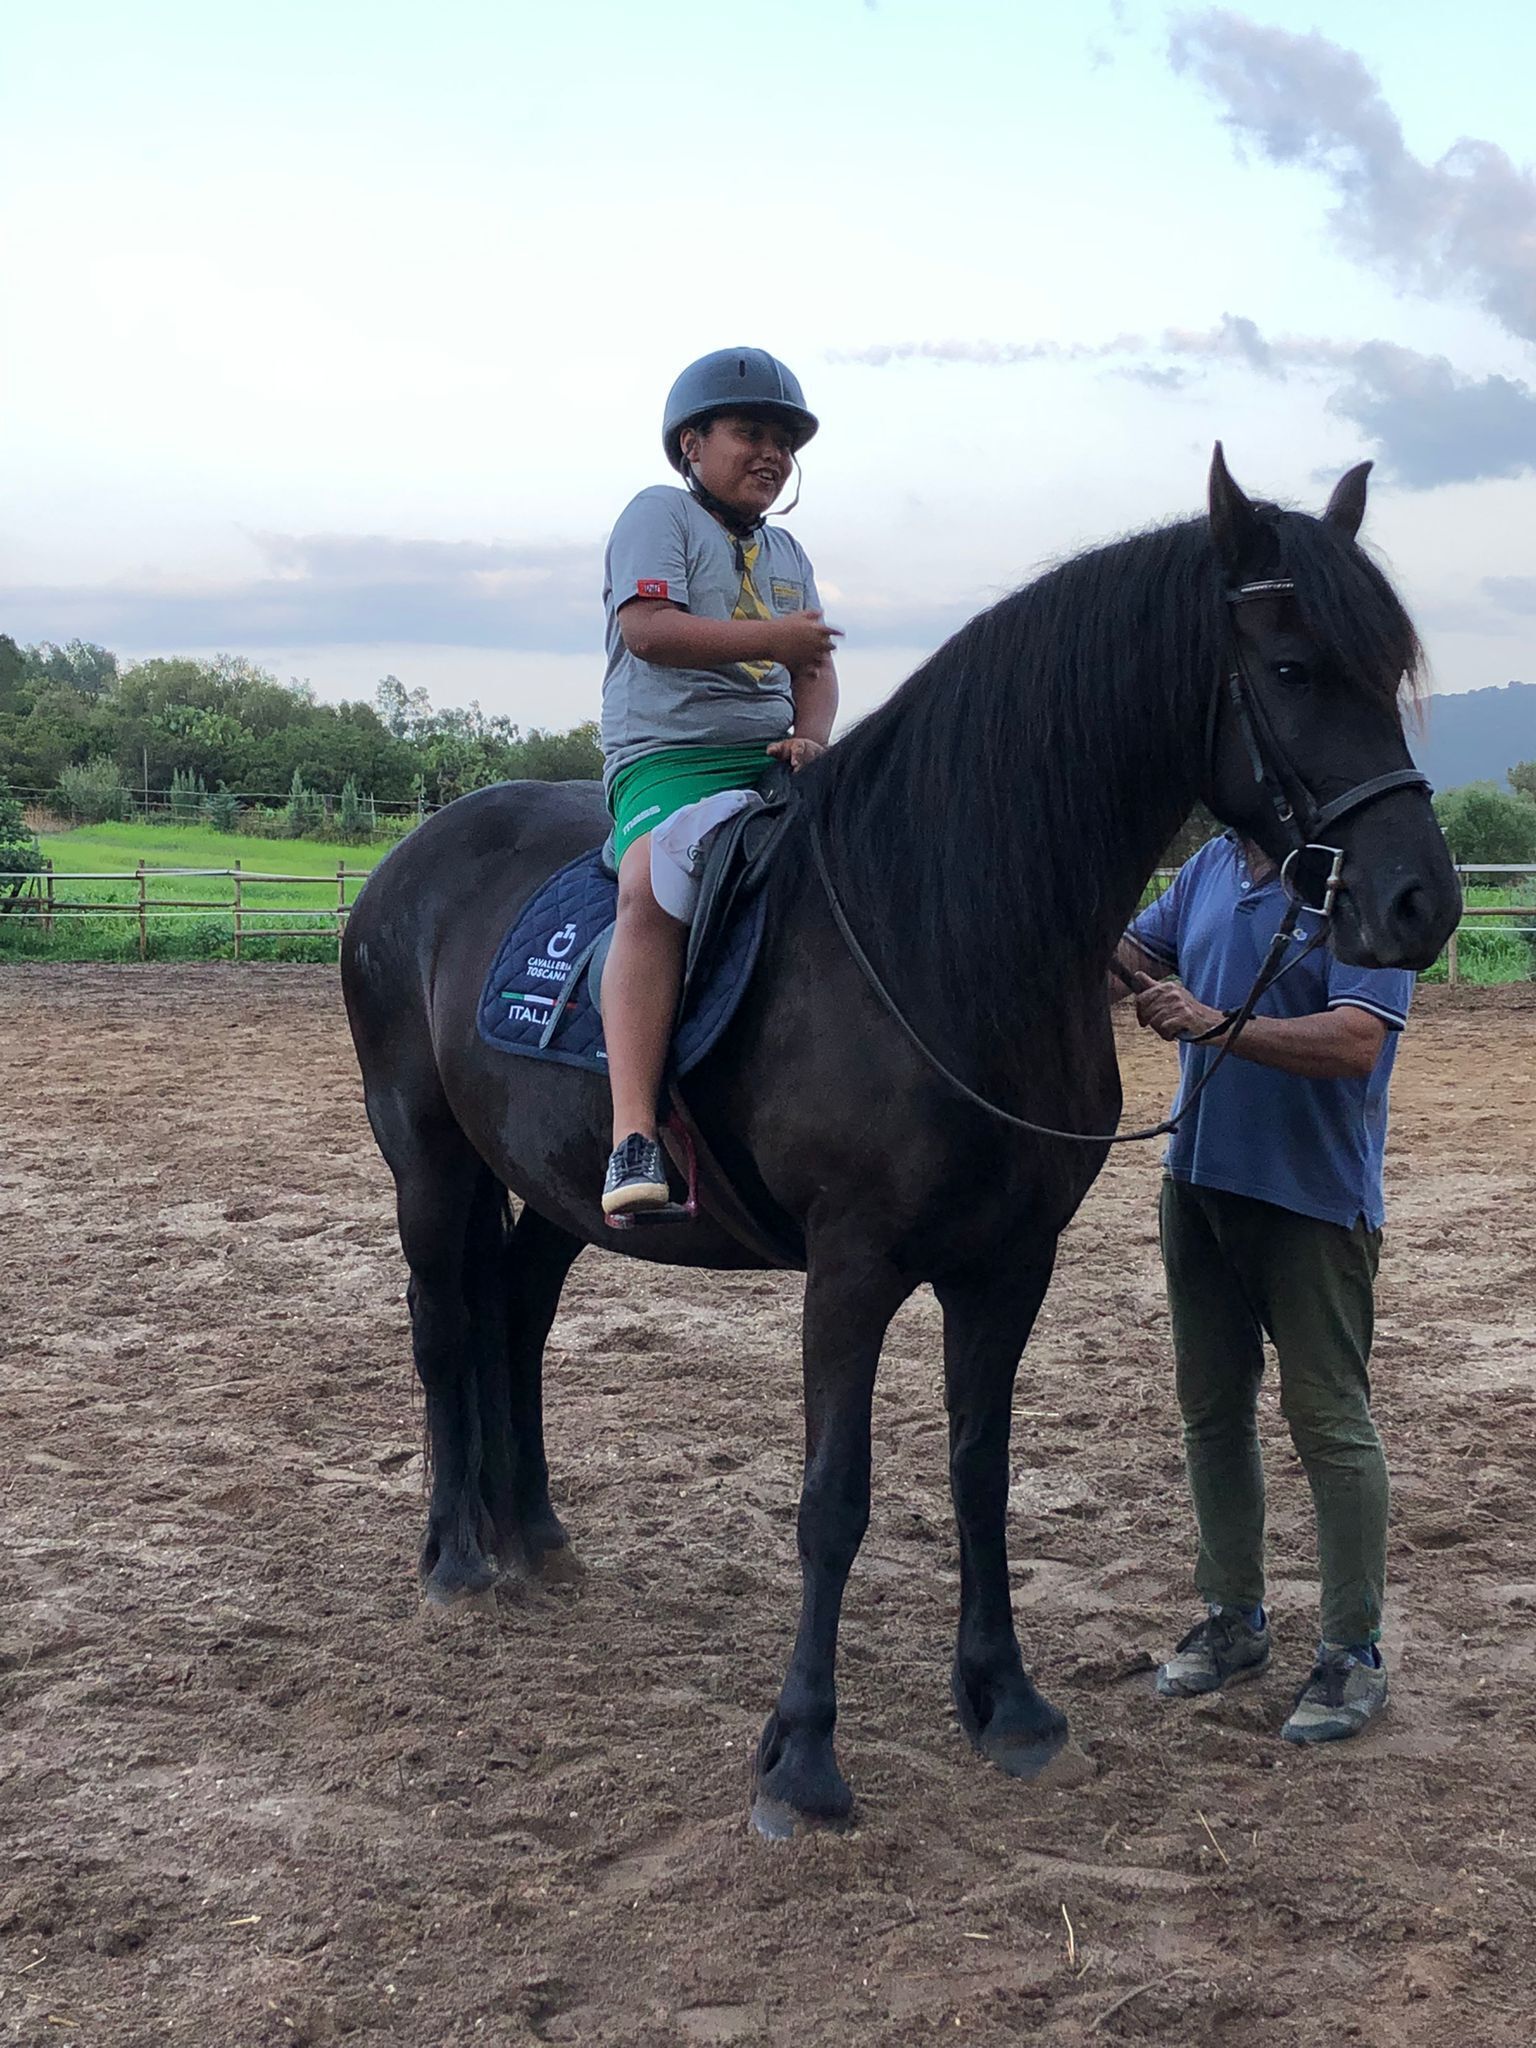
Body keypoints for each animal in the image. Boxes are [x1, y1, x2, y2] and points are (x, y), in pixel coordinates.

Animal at [342, 449, 1460, 1837]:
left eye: (1393, 668)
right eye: (1297, 667)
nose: (1421, 902)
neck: (940, 927)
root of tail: (411, 861)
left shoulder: (1009, 1262)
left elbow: (981, 1469)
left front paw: (1010, 1705)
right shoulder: (853, 1267)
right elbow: (836, 1495)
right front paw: (803, 1759)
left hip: (556, 1190)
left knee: (515, 1319)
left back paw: (533, 1536)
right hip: (430, 1162)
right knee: (447, 1325)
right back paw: (453, 1557)